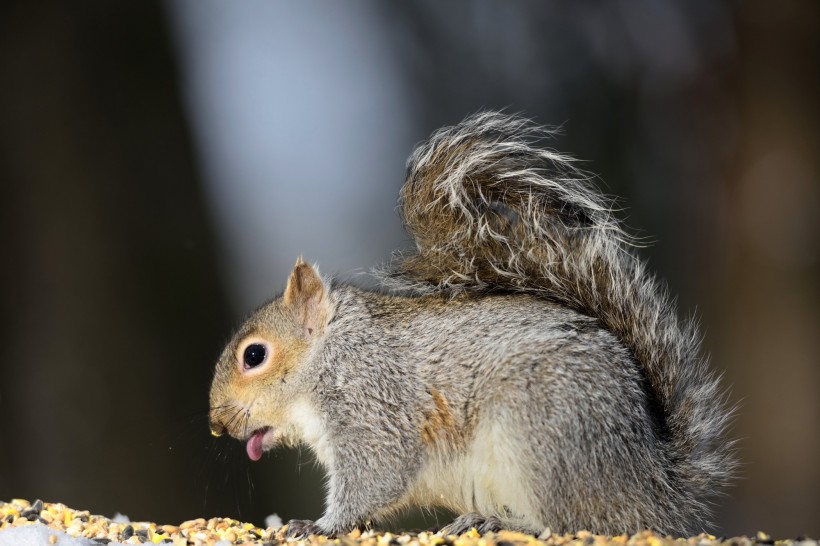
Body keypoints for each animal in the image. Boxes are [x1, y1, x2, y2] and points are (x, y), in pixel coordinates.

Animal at [208, 110, 732, 536]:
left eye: (254, 355)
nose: (216, 424)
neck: (332, 353)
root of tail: (653, 488)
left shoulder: (372, 404)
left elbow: (377, 475)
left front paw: (319, 526)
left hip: (543, 439)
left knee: (577, 522)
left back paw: (504, 522)